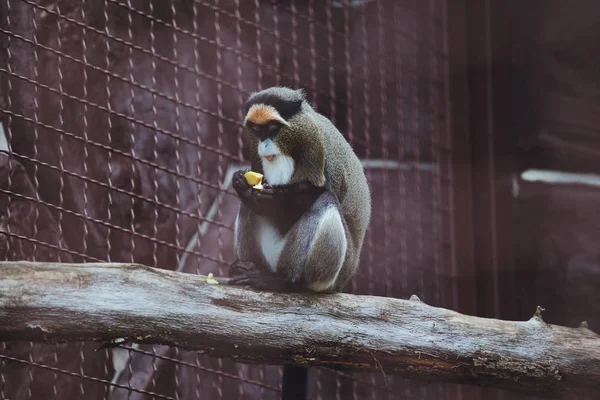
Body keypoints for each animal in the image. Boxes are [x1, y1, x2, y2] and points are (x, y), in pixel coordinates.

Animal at [229, 86, 370, 294]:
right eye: (256, 130)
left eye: (273, 129)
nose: (264, 144)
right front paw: (245, 188)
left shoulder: (319, 149)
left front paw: (277, 199)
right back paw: (246, 268)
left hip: (333, 276)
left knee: (326, 200)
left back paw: (287, 282)